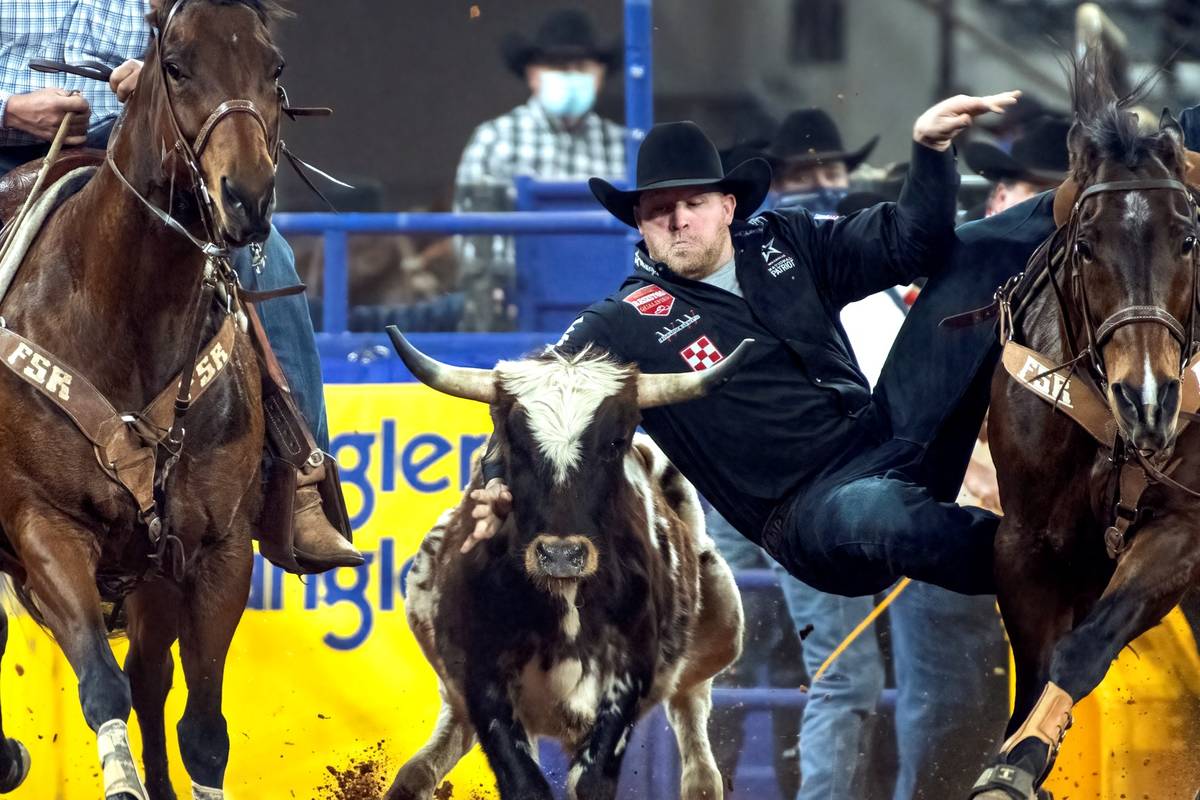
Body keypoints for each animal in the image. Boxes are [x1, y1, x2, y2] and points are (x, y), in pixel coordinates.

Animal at [0, 1, 290, 800]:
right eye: (177, 65)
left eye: (274, 66)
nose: (247, 196)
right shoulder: (45, 526)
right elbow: (101, 681)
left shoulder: (218, 548)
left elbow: (204, 728)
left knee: (153, 677)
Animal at [974, 57, 1200, 800]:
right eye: (1086, 245)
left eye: (1189, 239)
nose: (1149, 396)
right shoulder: (1028, 542)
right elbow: (1039, 663)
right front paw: (1014, 764)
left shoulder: (1179, 531)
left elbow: (1086, 646)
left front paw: (1020, 759)